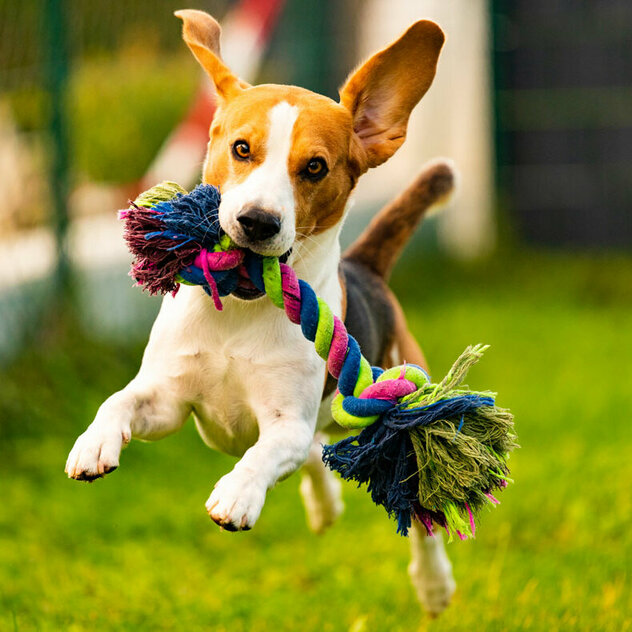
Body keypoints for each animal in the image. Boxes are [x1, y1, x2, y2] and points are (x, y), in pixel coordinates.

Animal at [65, 7, 454, 616]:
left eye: (315, 167)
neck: (239, 313)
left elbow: (264, 453)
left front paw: (238, 493)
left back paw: (434, 584)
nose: (257, 222)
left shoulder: (285, 422)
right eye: (242, 149)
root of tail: (366, 267)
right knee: (319, 454)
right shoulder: (170, 402)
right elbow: (120, 400)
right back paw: (325, 504)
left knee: (418, 518)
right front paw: (93, 442)